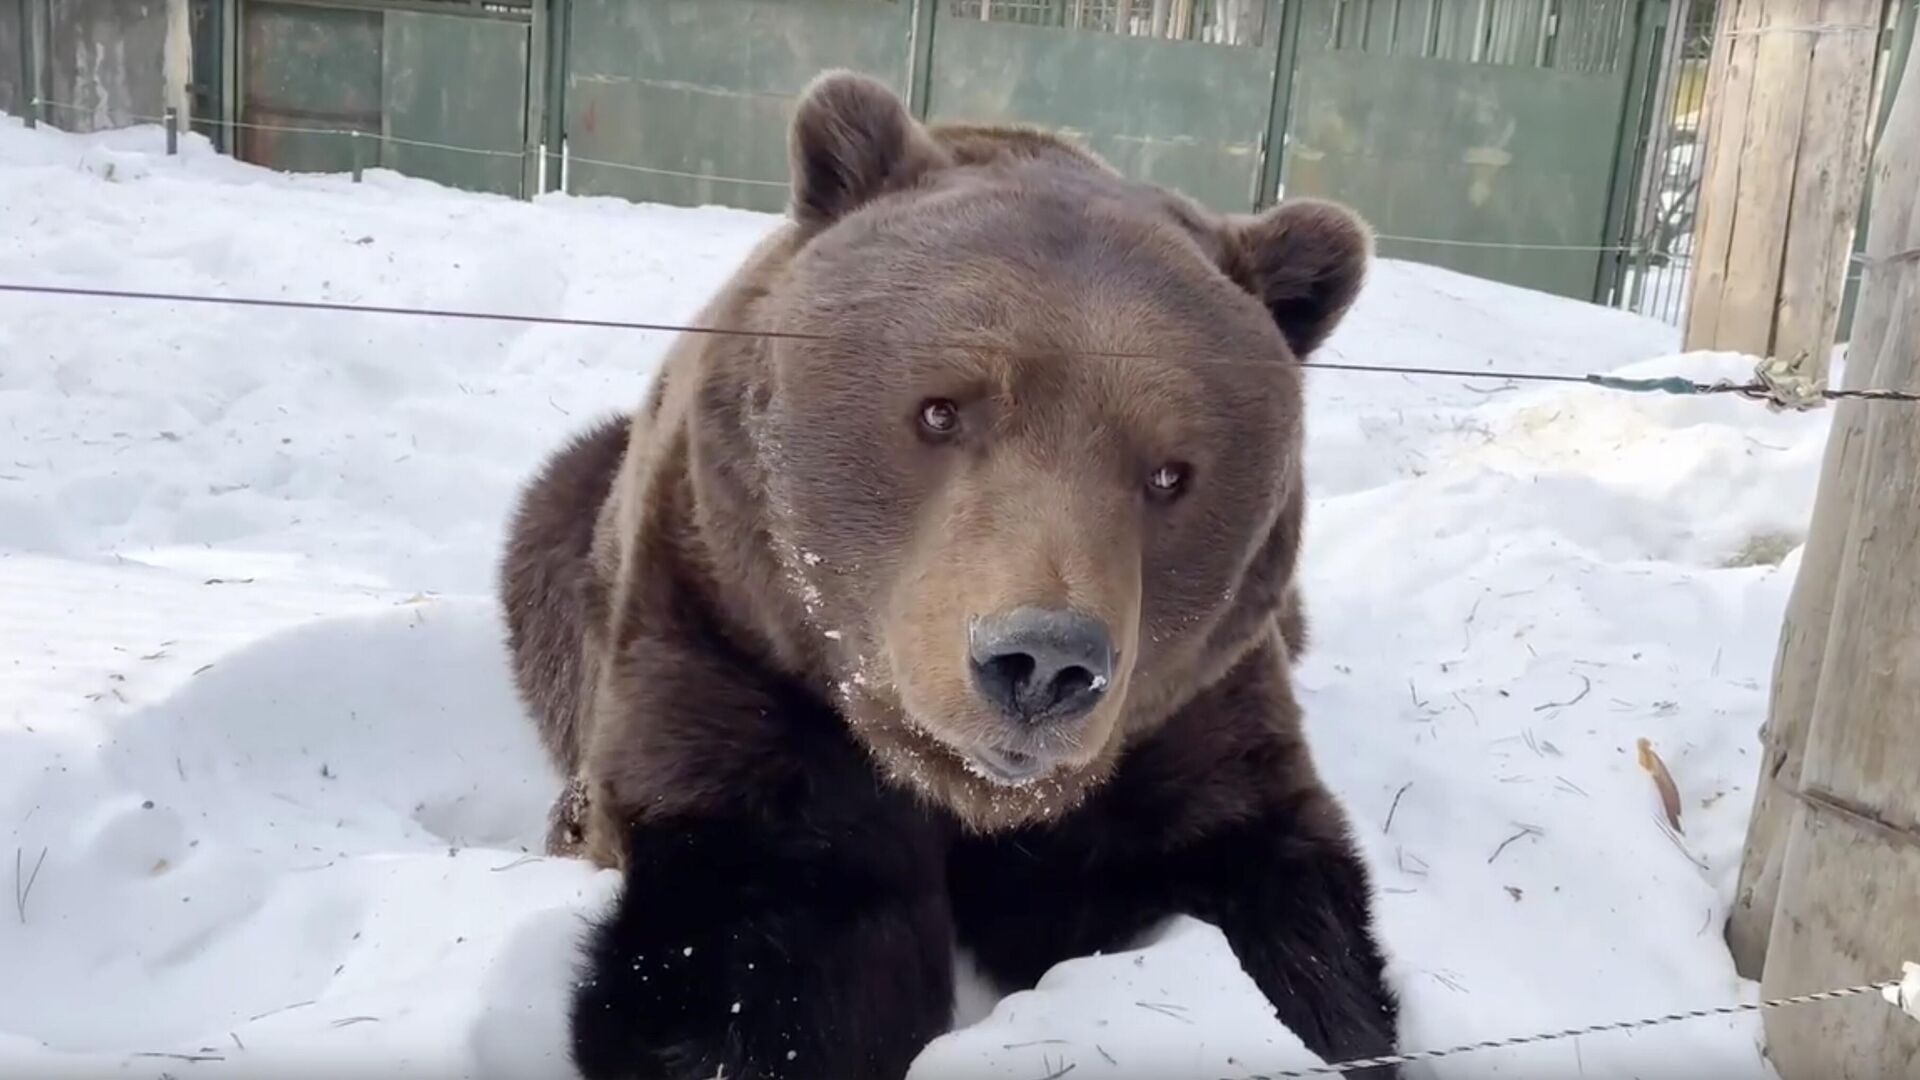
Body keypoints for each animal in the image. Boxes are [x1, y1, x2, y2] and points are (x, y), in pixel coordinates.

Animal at [495, 71, 1397, 1076]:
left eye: (1170, 472)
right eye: (940, 411)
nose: (1042, 663)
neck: (962, 790)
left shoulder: (1186, 714)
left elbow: (1274, 900)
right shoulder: (735, 645)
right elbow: (754, 944)